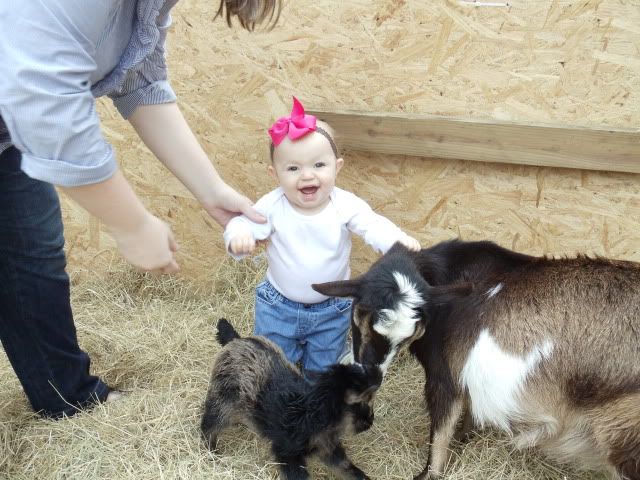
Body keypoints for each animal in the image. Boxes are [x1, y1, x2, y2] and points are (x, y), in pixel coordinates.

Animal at [201, 318, 382, 480]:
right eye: (362, 402)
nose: (370, 421)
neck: (313, 415)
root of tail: (236, 340)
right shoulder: (287, 452)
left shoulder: (328, 447)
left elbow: (347, 468)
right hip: (223, 400)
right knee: (209, 425)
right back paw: (212, 453)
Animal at [313, 239, 640, 480]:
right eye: (360, 314)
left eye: (412, 331)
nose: (369, 375)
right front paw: (465, 438)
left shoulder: (444, 377)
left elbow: (440, 435)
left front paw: (427, 473)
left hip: (623, 433)